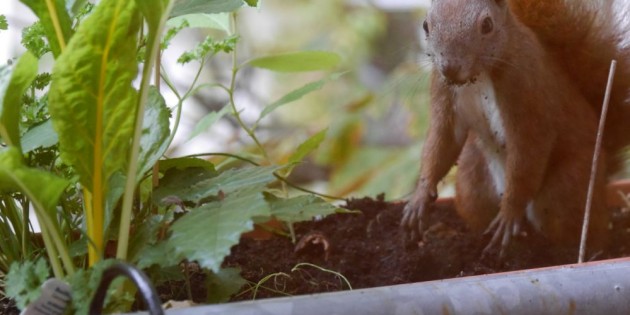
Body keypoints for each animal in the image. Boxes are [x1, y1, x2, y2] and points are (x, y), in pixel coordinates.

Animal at [404, 0, 630, 258]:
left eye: (487, 24)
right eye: (425, 25)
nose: (450, 67)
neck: (480, 75)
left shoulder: (526, 93)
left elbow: (527, 152)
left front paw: (509, 213)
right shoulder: (443, 91)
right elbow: (442, 143)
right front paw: (420, 198)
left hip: (567, 187)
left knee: (578, 225)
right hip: (473, 180)